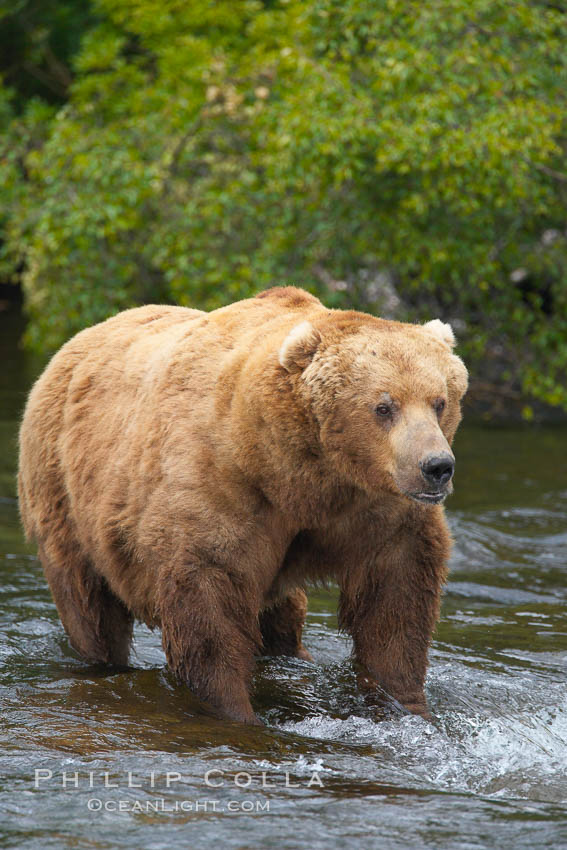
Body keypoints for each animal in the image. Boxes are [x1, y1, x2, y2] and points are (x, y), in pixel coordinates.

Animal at [20, 286, 468, 724]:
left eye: (440, 401)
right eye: (383, 406)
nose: (437, 466)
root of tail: (76, 340)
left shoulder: (376, 509)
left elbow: (396, 600)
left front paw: (404, 705)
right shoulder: (223, 489)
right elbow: (209, 607)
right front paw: (235, 709)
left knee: (283, 613)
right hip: (62, 492)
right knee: (88, 605)